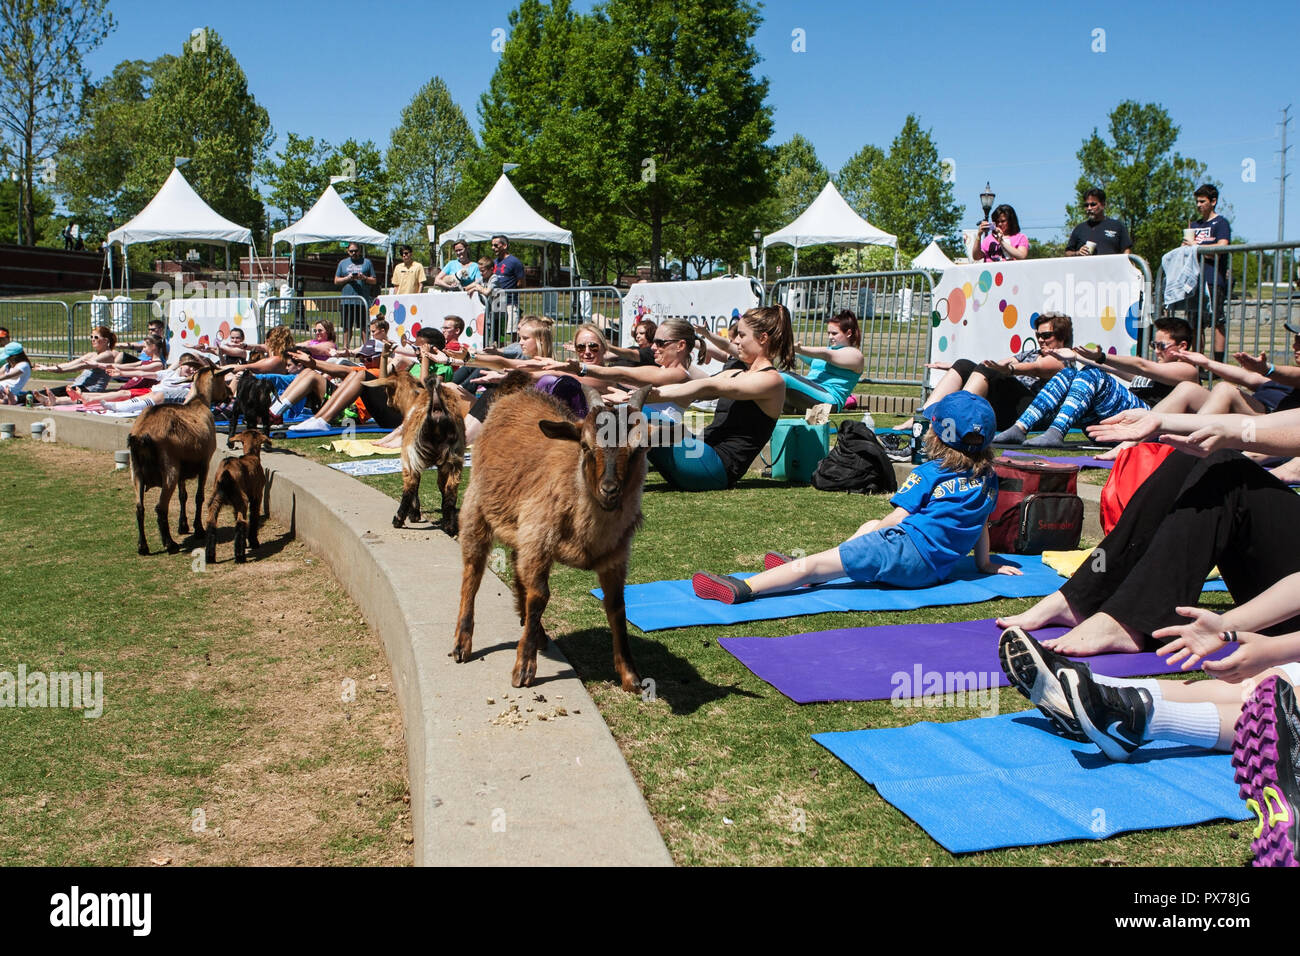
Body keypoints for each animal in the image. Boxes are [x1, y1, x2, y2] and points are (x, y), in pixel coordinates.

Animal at [202, 431, 271, 564]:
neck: (251, 455)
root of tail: (225, 474)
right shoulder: (257, 495)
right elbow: (254, 518)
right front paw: (253, 542)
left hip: (215, 499)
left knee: (211, 522)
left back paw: (210, 557)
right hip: (241, 500)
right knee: (241, 522)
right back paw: (240, 556)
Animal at [452, 369, 650, 691]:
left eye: (639, 449)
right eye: (585, 446)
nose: (609, 491)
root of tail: (517, 391)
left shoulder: (615, 556)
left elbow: (617, 606)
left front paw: (631, 676)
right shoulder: (539, 541)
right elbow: (541, 596)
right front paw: (523, 668)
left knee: (517, 569)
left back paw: (537, 633)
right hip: (476, 506)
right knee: (473, 571)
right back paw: (462, 643)